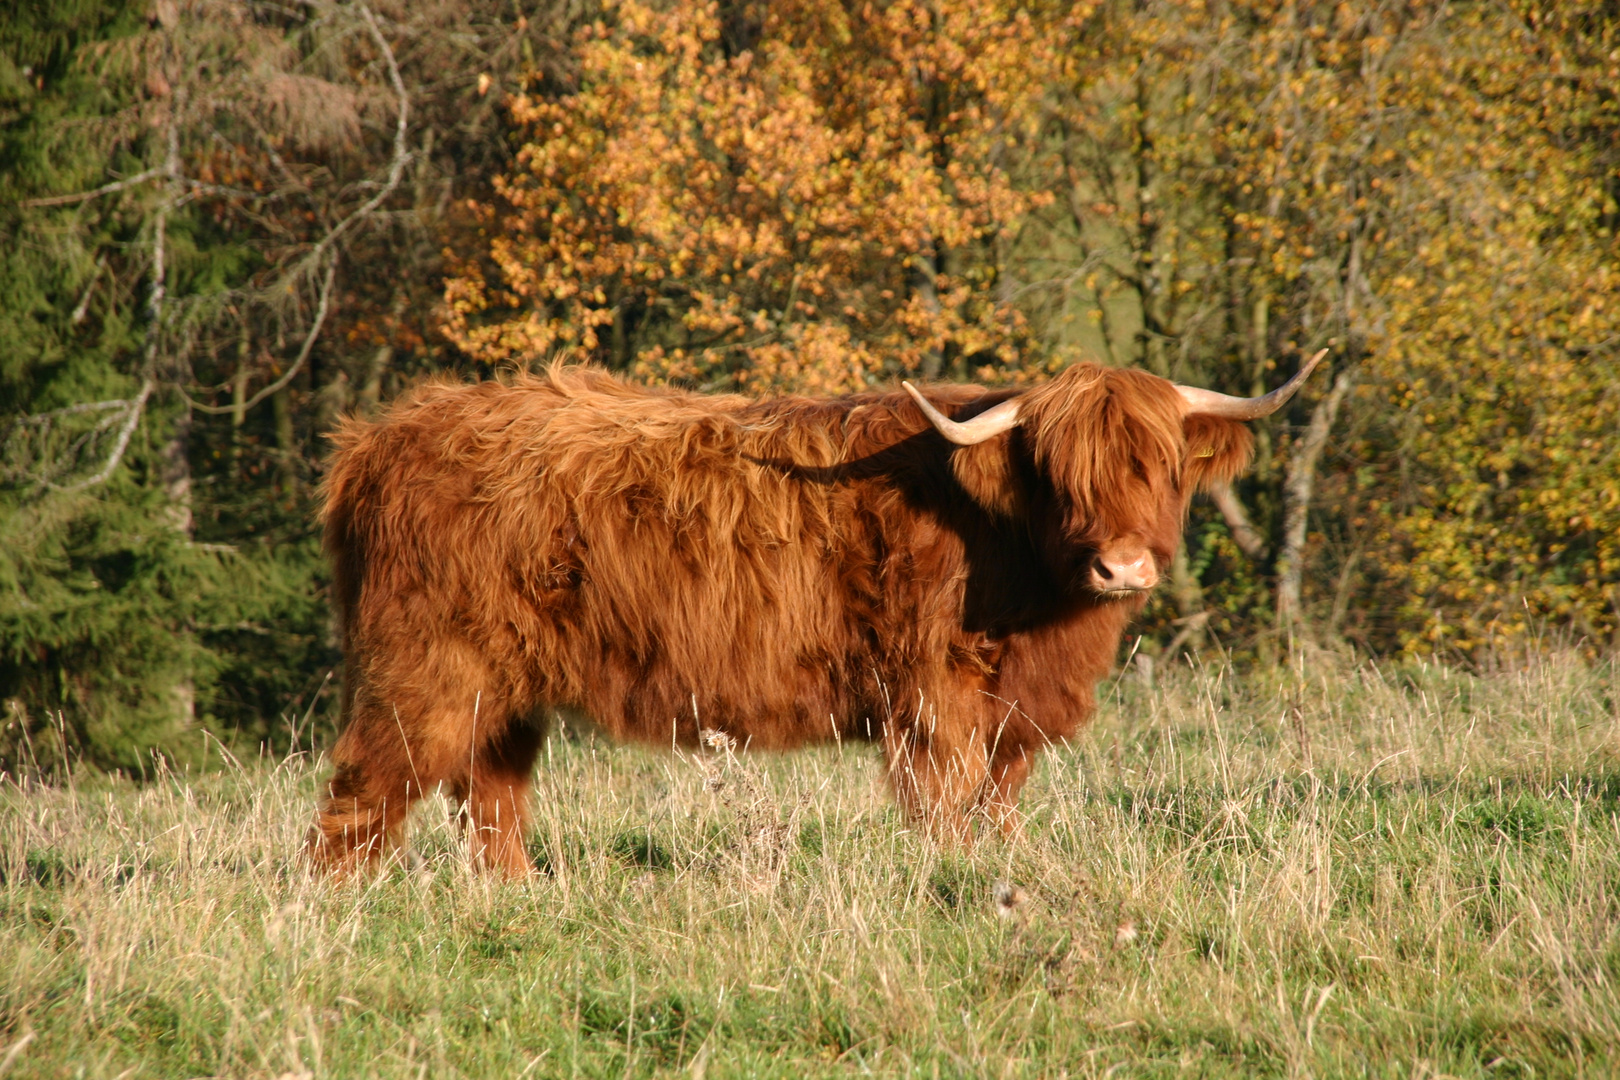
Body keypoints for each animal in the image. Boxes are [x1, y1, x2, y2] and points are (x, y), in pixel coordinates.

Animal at [309, 351, 1321, 874]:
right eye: (1058, 471)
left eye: (1161, 467)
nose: (1121, 566)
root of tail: (379, 439)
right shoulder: (936, 697)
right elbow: (948, 801)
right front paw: (957, 880)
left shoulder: (1015, 713)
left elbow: (999, 801)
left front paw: (999, 871)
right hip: (423, 670)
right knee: (366, 788)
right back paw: (344, 908)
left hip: (504, 690)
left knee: (491, 794)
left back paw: (515, 896)